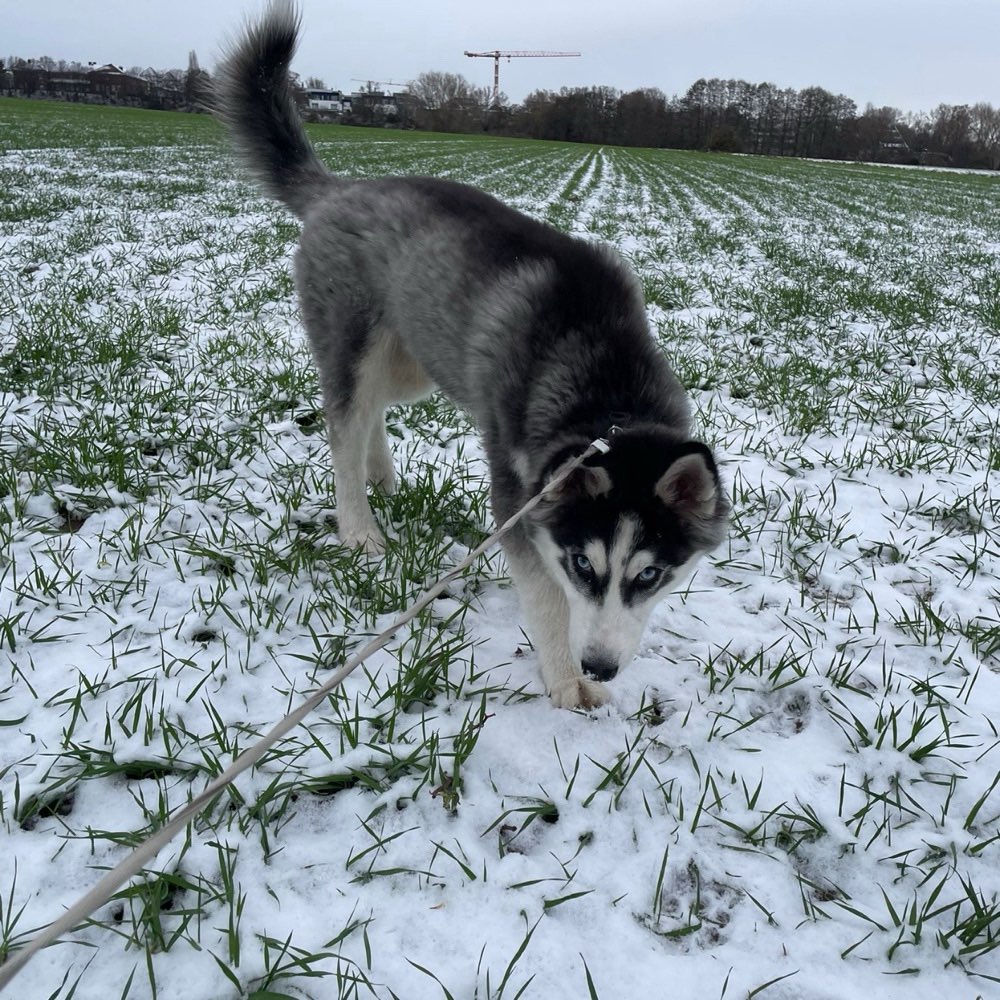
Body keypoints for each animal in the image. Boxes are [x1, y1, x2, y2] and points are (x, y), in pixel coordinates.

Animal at [215, 0, 728, 708]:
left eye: (650, 576)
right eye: (582, 564)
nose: (599, 666)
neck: (605, 389)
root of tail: (339, 190)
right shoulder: (518, 498)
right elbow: (547, 601)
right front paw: (565, 684)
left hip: (417, 361)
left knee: (371, 410)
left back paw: (381, 473)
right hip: (354, 341)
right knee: (342, 423)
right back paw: (358, 524)